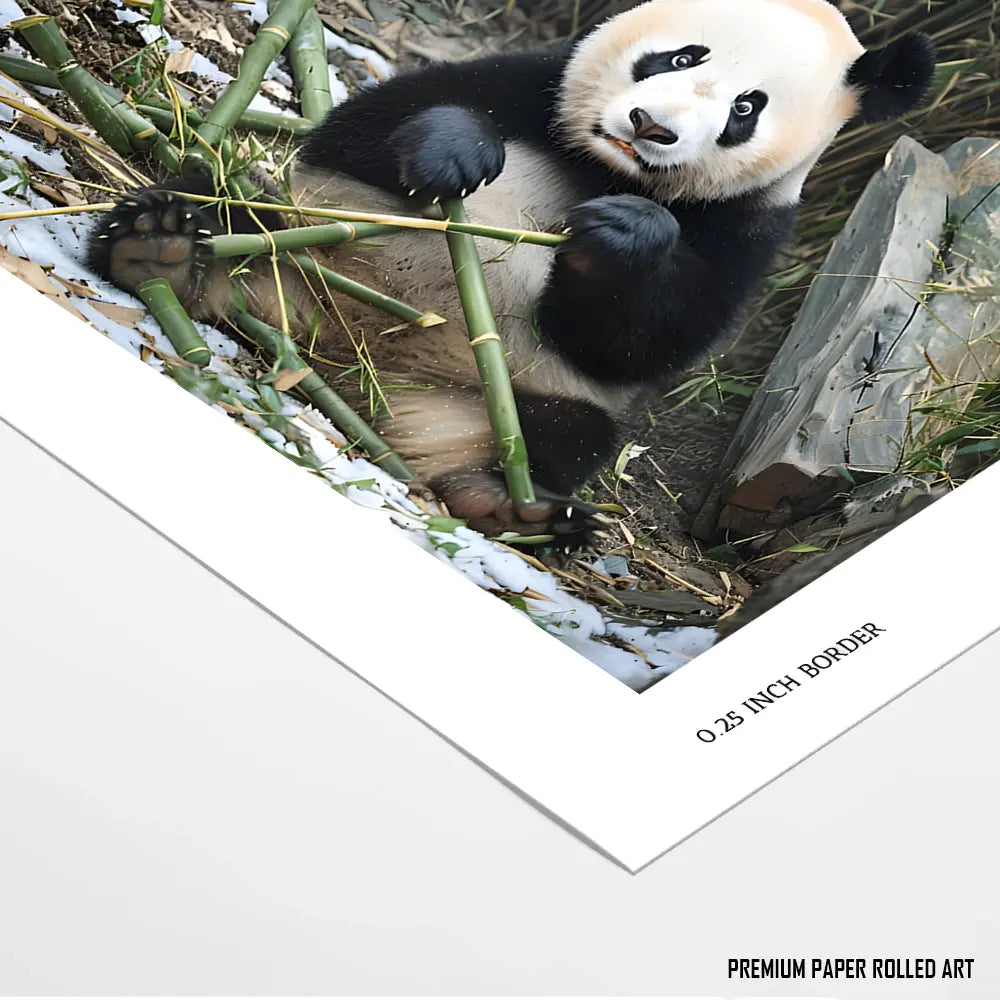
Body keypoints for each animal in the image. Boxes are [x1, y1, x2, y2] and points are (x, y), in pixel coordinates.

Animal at [86, 0, 935, 540]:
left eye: (745, 109)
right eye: (679, 56)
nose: (652, 127)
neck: (604, 166)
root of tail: (334, 354)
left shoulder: (750, 229)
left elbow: (648, 342)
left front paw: (623, 235)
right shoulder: (530, 80)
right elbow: (364, 125)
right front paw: (455, 151)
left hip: (520, 392)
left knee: (565, 435)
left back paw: (504, 501)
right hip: (303, 227)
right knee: (230, 204)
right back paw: (164, 248)